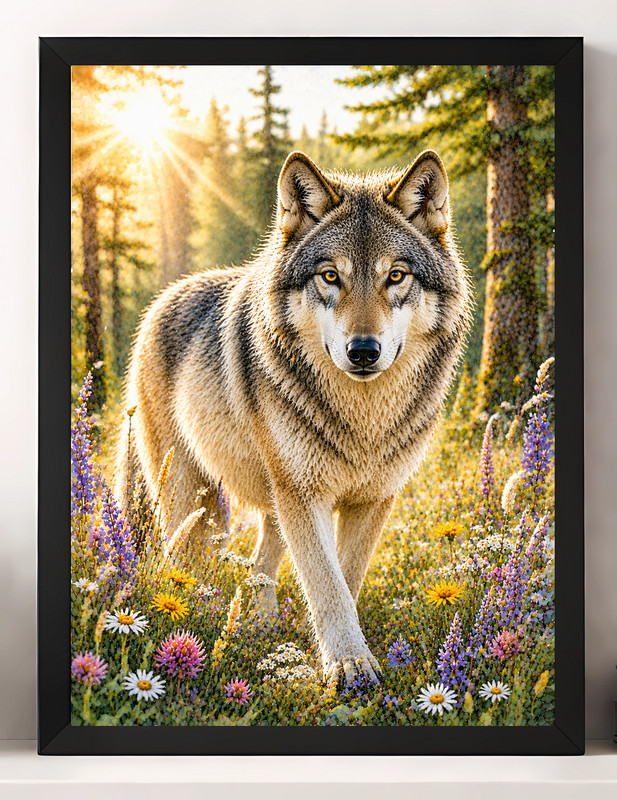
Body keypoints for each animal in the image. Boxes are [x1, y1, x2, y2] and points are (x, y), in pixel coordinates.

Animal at [115, 149, 471, 689]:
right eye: (330, 276)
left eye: (395, 276)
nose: (363, 351)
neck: (363, 418)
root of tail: (166, 296)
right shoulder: (304, 495)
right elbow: (325, 582)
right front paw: (348, 666)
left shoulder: (373, 500)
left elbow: (344, 578)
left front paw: (333, 653)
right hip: (190, 495)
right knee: (180, 556)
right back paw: (186, 611)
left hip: (269, 499)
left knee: (261, 562)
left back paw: (257, 622)